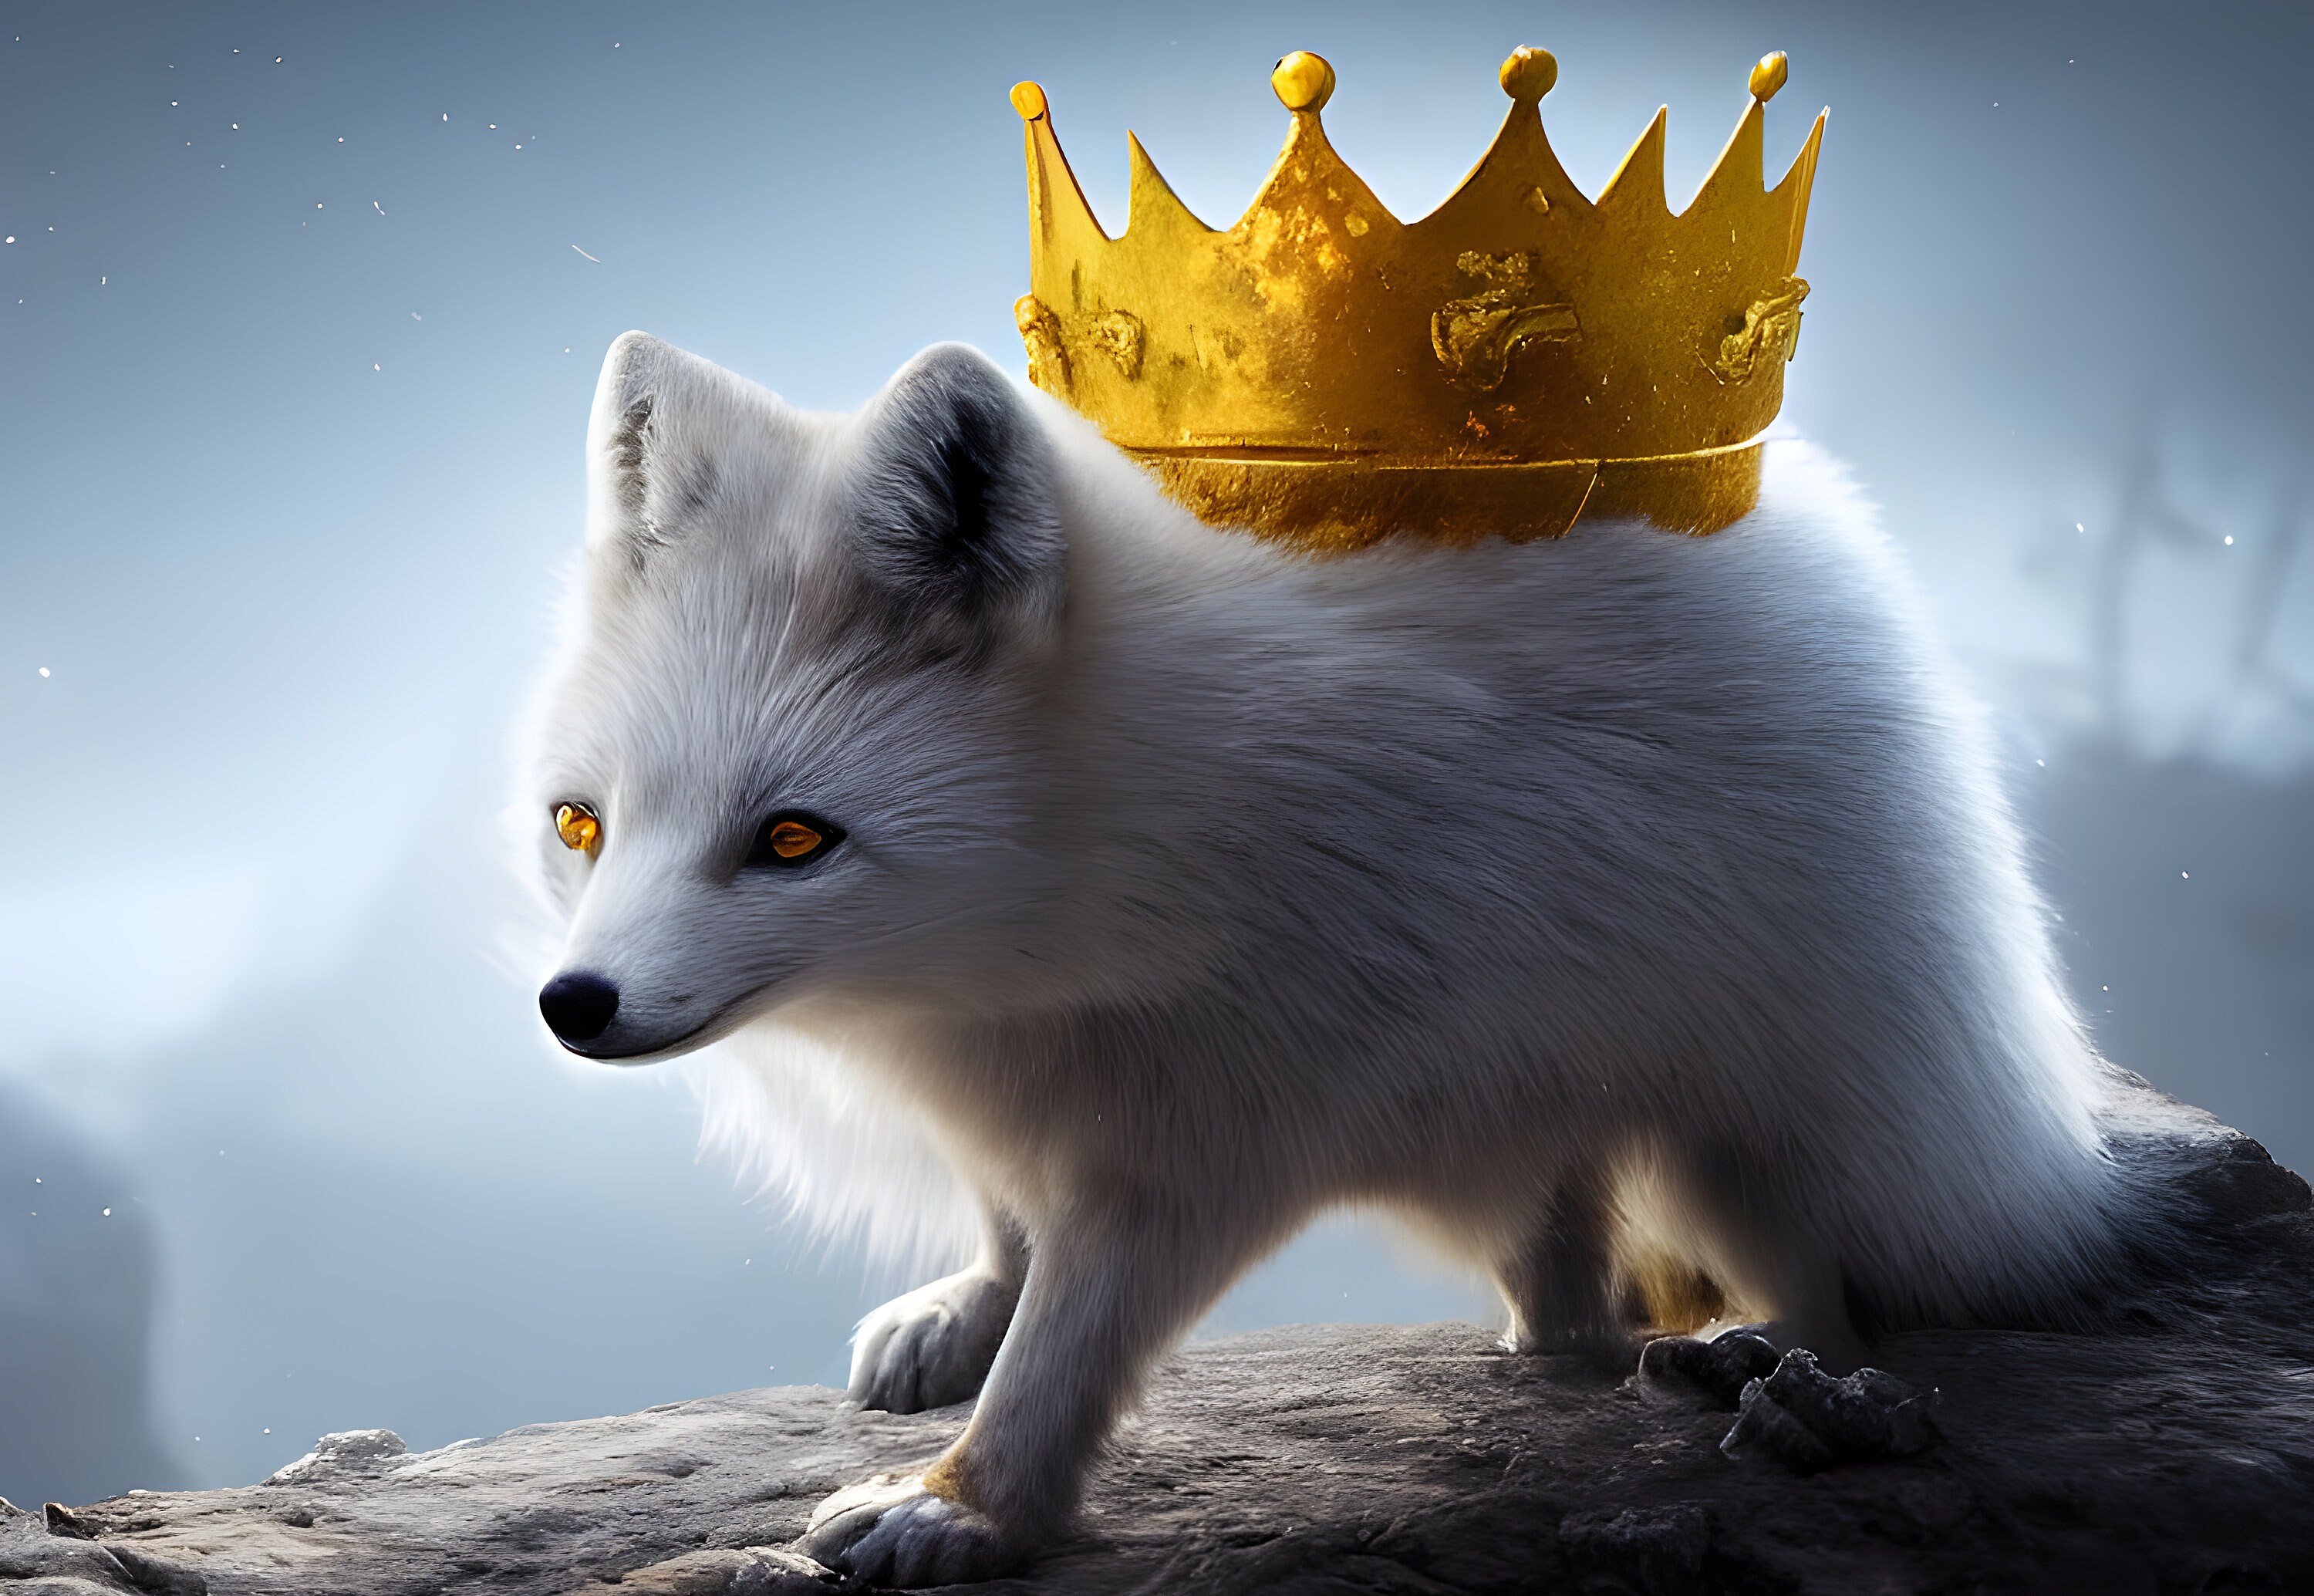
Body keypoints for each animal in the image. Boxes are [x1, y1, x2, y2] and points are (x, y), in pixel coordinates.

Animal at [519, 330, 2138, 1585]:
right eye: (583, 823)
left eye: (793, 838)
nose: (573, 1005)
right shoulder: (1026, 1084)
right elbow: (1012, 1227)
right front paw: (965, 1315)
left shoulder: (1219, 1126)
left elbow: (1072, 1340)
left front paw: (962, 1503)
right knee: (1573, 1273)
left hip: (1760, 1120)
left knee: (1817, 1273)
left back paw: (1774, 1364)